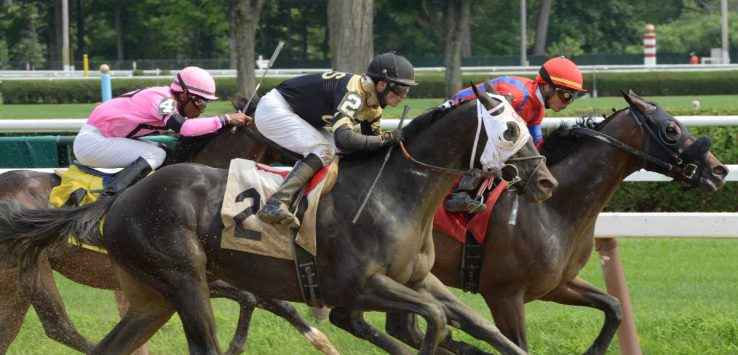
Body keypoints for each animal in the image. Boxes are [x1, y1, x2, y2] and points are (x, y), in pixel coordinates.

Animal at [0, 92, 556, 355]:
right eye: (510, 129)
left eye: (527, 124)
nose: (546, 181)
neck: (396, 192)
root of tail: (118, 202)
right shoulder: (361, 285)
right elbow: (436, 322)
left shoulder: (418, 279)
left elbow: (476, 323)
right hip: (183, 280)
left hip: (148, 296)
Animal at [382, 91, 728, 354]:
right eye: (671, 129)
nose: (719, 170)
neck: (553, 208)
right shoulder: (504, 296)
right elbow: (517, 345)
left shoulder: (557, 284)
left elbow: (614, 307)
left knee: (405, 329)